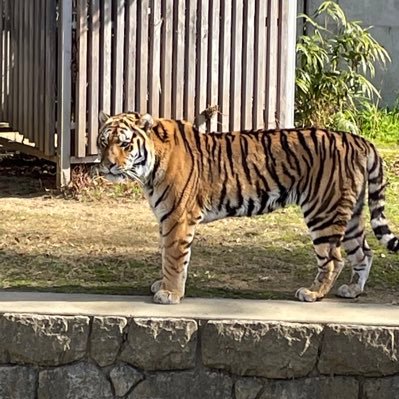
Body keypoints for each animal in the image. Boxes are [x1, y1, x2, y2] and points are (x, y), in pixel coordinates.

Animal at [97, 111, 399, 304]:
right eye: (103, 142)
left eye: (124, 143)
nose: (107, 165)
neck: (150, 167)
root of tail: (360, 140)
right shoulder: (167, 219)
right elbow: (165, 257)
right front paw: (163, 285)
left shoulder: (177, 219)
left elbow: (173, 258)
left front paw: (169, 294)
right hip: (351, 214)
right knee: (364, 253)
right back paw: (353, 290)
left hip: (323, 211)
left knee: (334, 258)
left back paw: (313, 294)